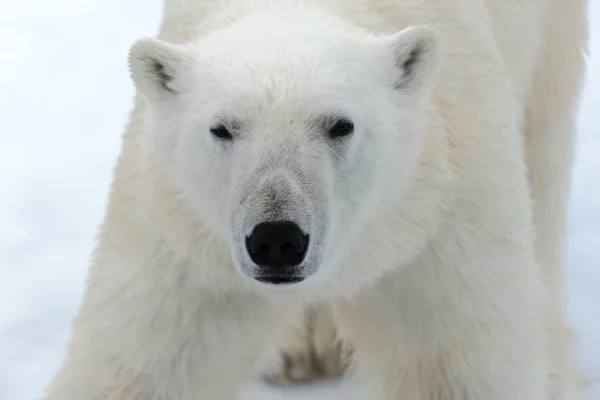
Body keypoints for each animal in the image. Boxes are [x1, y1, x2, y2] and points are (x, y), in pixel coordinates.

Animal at [42, 0, 584, 396]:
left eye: (340, 125)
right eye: (222, 128)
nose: (276, 239)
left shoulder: (439, 215)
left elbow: (458, 367)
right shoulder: (184, 238)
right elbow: (141, 363)